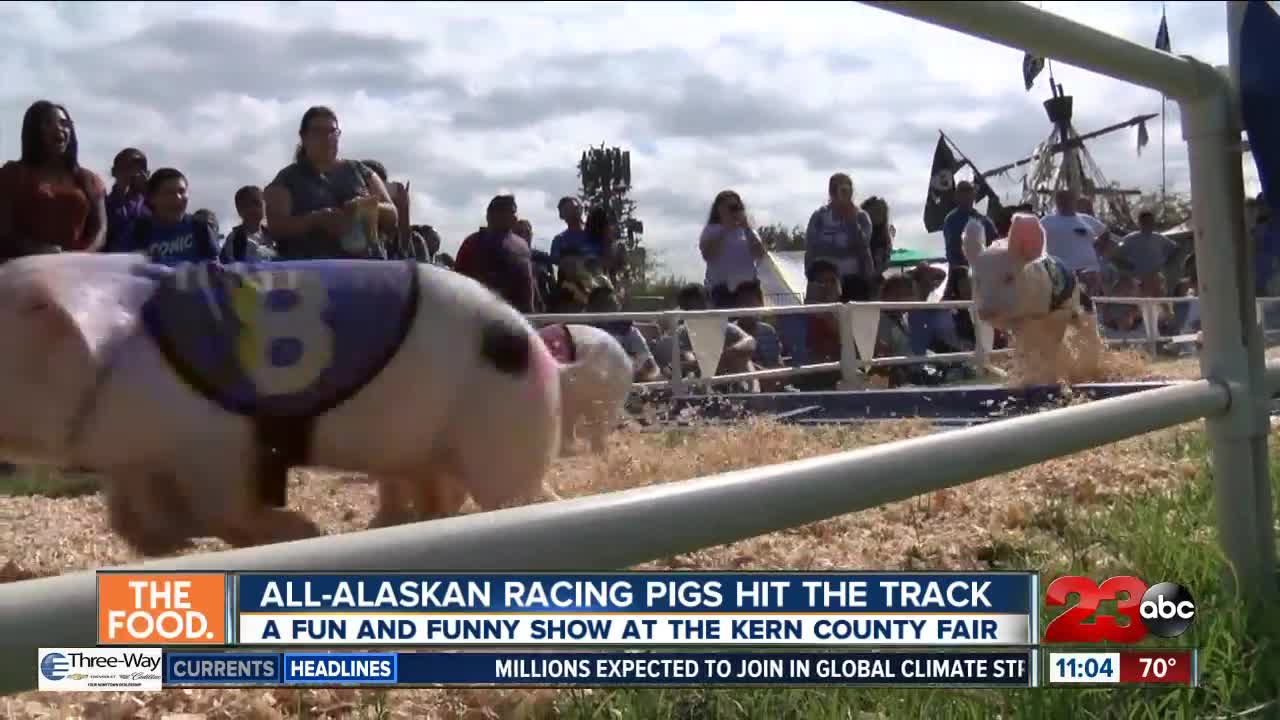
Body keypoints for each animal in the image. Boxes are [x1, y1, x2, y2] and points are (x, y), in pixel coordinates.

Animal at [0, 253, 565, 556]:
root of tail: (535, 346)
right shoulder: (134, 458)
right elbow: (125, 517)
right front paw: (167, 545)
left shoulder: (217, 444)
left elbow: (225, 507)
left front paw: (305, 532)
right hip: (422, 449)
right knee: (436, 496)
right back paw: (386, 528)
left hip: (500, 442)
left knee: (516, 501)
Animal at [962, 211, 1105, 384]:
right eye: (975, 279)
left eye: (1009, 277)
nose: (985, 312)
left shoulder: (1059, 311)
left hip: (1085, 307)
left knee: (1089, 333)